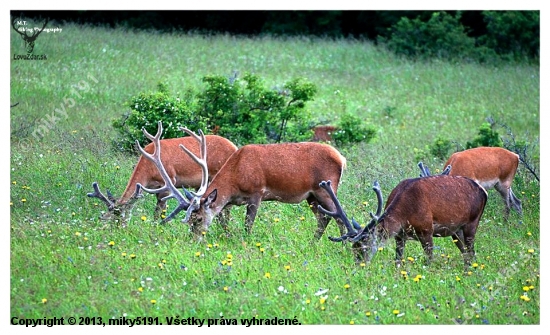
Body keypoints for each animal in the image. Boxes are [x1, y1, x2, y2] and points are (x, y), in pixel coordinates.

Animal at [87, 122, 238, 224]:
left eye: (119, 218)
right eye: (112, 218)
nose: (117, 230)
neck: (149, 168)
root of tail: (234, 147)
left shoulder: (168, 182)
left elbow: (159, 213)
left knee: (227, 207)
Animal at [137, 124, 350, 240]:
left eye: (197, 219)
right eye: (188, 220)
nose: (193, 239)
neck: (236, 177)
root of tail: (342, 158)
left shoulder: (257, 192)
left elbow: (248, 224)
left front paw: (244, 241)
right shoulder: (230, 201)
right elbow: (223, 220)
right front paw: (227, 236)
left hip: (325, 189)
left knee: (339, 216)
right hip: (311, 196)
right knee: (324, 217)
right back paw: (314, 243)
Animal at [322, 175, 490, 270]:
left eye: (364, 246)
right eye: (353, 248)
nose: (358, 267)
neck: (405, 213)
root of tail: (484, 191)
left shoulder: (426, 229)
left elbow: (429, 259)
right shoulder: (399, 235)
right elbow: (398, 260)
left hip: (472, 221)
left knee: (471, 251)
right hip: (456, 231)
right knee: (466, 253)